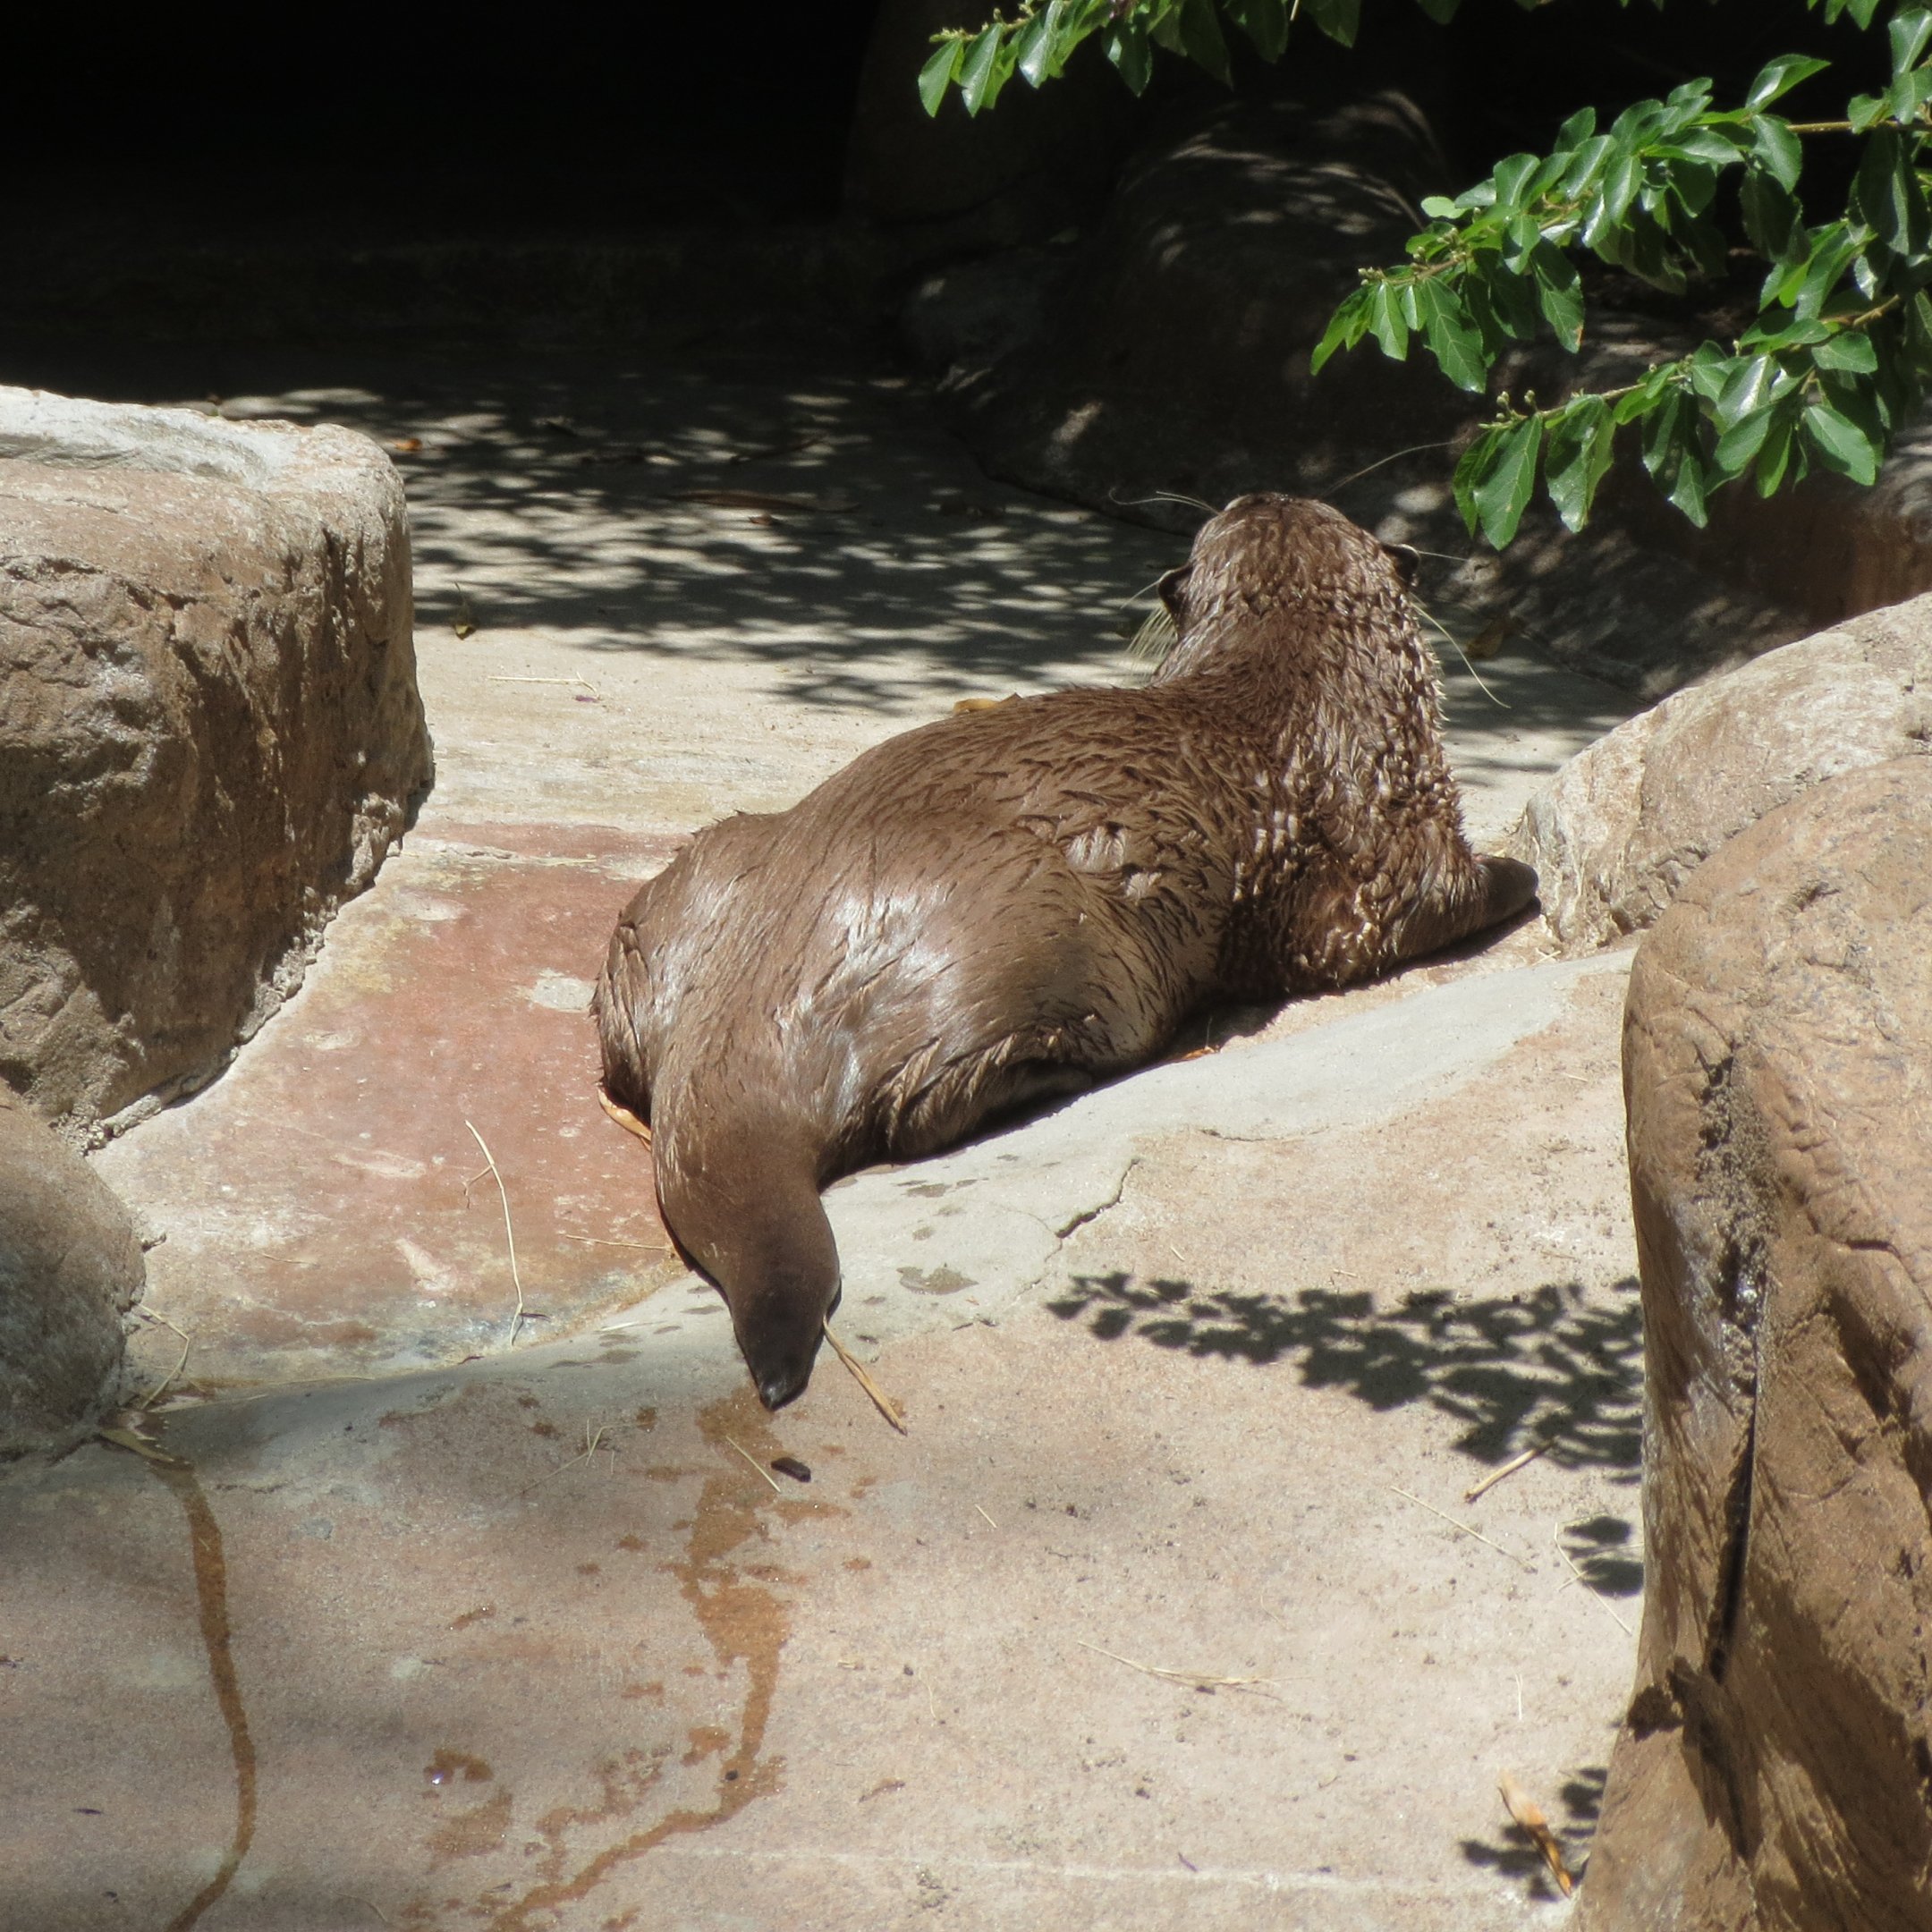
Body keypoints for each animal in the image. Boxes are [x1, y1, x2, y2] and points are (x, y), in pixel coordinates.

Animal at [593, 495, 1536, 1408]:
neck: (1305, 671)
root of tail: (775, 975)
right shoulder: (1386, 852)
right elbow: (1436, 899)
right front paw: (1522, 872)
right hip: (1052, 933)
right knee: (931, 1108)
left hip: (686, 888)